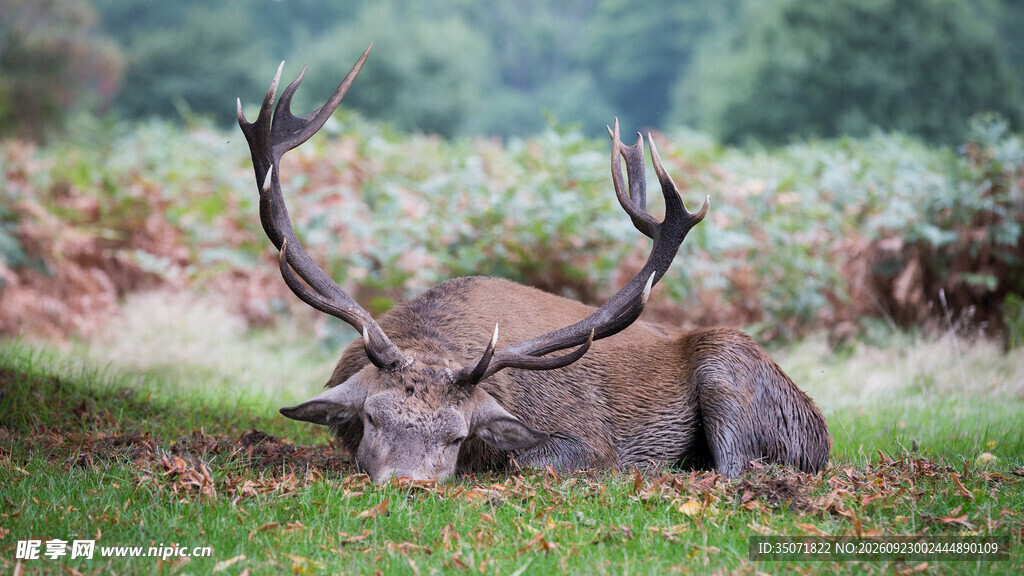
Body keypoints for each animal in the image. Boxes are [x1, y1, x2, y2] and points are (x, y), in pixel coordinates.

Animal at [237, 46, 830, 484]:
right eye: (370, 419)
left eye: (458, 436)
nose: (410, 483)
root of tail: (823, 436)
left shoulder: (588, 442)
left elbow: (530, 462)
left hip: (731, 371)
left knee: (733, 467)